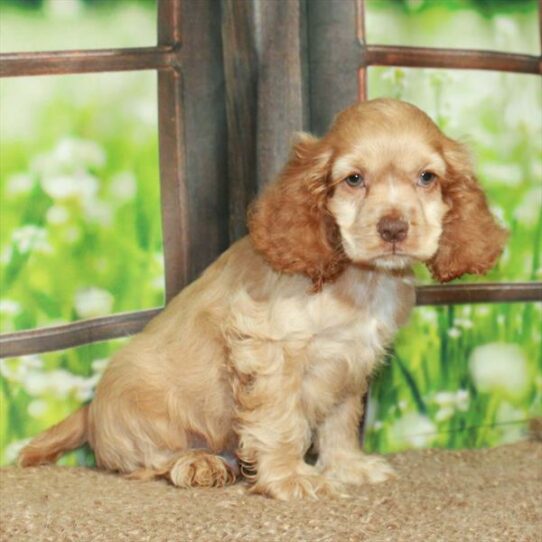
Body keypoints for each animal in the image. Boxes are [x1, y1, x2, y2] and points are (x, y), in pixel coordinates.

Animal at [19, 99, 508, 502]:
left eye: (427, 178)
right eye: (354, 179)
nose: (393, 229)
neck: (359, 278)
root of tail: (90, 410)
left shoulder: (352, 361)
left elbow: (341, 419)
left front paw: (347, 467)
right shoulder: (271, 349)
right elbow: (281, 421)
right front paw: (291, 479)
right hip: (146, 420)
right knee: (147, 461)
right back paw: (200, 463)